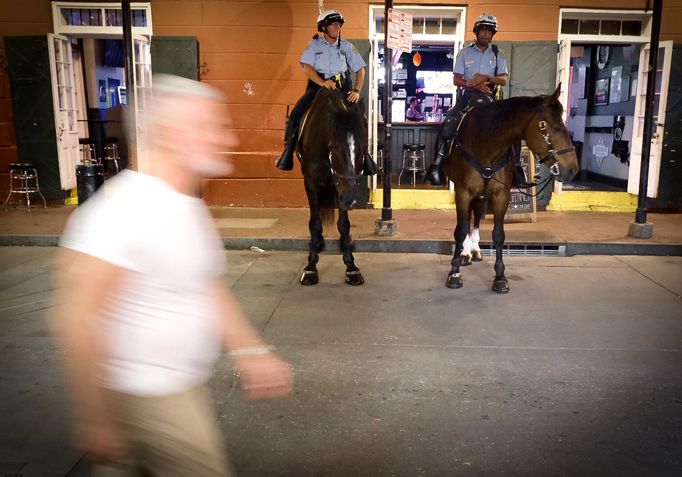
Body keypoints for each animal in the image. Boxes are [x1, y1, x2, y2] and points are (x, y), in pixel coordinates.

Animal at [294, 87, 364, 284]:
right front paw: (311, 267)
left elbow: (344, 225)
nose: (352, 201)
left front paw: (351, 267)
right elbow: (315, 224)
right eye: (335, 149)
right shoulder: (310, 183)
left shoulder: (341, 188)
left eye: (363, 148)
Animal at [440, 85, 580, 292]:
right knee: (468, 221)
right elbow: (460, 230)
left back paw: (474, 250)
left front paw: (500, 277)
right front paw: (454, 273)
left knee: (476, 218)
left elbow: (498, 235)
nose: (572, 169)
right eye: (550, 126)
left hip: (482, 196)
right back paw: (466, 253)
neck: (486, 145)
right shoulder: (462, 192)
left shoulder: (501, 195)